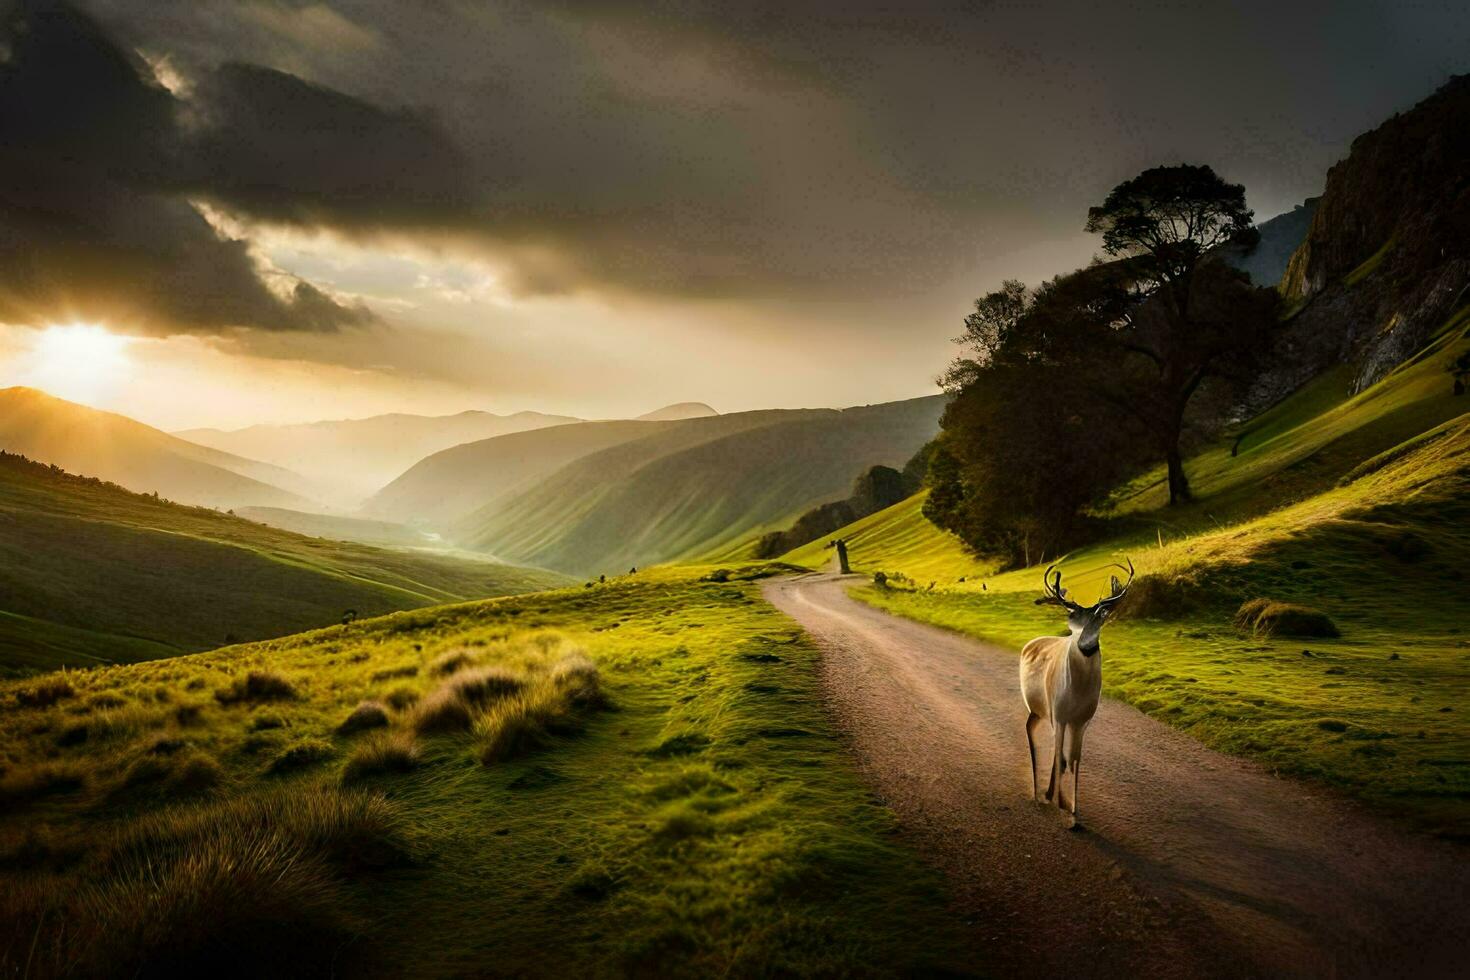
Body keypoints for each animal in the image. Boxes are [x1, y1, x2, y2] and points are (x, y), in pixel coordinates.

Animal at [1023, 558, 1134, 828]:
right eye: (1073, 618)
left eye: (1100, 619)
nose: (1086, 645)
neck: (1078, 692)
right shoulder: (1059, 713)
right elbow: (1061, 757)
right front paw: (1058, 801)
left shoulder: (1083, 720)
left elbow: (1074, 759)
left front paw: (1073, 812)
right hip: (1040, 709)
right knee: (1035, 736)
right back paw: (1039, 793)